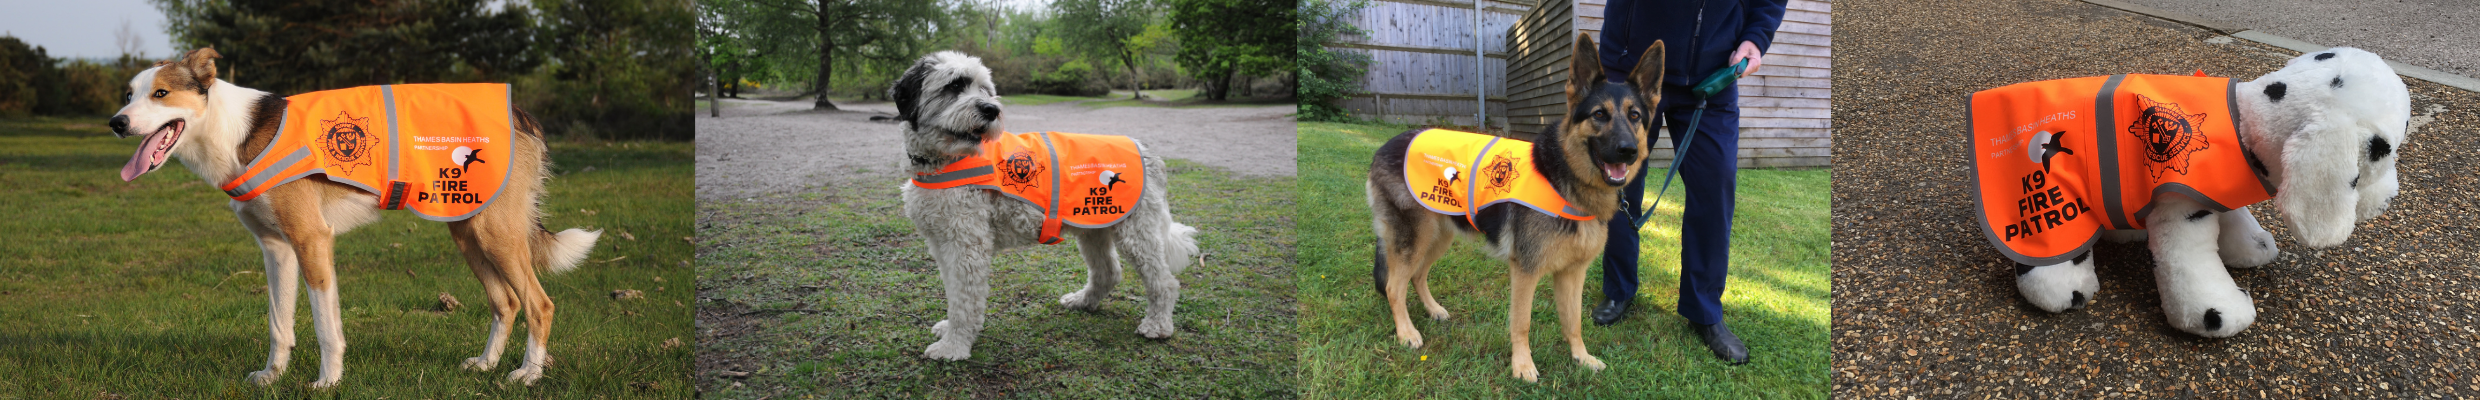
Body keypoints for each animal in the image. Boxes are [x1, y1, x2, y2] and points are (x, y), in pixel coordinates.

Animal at [111, 47, 605, 387]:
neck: (237, 132)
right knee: (506, 303)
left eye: (161, 94)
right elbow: (279, 323)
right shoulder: (276, 250)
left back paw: (528, 375)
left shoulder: (312, 241)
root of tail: (522, 114)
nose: (116, 123)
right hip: (468, 232)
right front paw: (272, 377)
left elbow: (326, 326)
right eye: (130, 95)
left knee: (539, 304)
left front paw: (328, 381)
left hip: (495, 234)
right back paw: (485, 365)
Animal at [892, 50, 1200, 360]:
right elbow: (953, 293)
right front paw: (949, 331)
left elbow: (964, 301)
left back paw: (1158, 325)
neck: (941, 161)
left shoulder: (966, 246)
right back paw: (1083, 301)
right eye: (954, 85)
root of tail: (1148, 151)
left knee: (1164, 281)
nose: (991, 110)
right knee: (1108, 273)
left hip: (1136, 234)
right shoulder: (942, 243)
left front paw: (953, 346)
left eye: (985, 90)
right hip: (1094, 229)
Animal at [1368, 34, 1656, 380]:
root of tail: (1385, 146)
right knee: (1394, 287)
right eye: (1599, 114)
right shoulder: (1525, 271)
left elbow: (1573, 322)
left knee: (1417, 276)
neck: (1566, 180)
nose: (1627, 150)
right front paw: (1522, 365)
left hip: (1438, 238)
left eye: (1635, 116)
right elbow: (1522, 322)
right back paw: (1407, 333)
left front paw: (1581, 358)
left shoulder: (1573, 274)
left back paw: (1433, 310)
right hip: (1414, 240)